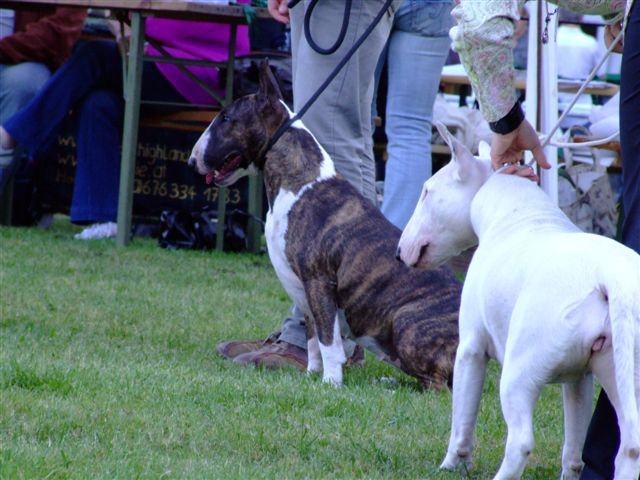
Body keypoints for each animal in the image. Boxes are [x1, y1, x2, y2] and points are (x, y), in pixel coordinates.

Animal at [188, 61, 462, 390]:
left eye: (227, 118)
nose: (191, 161)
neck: (297, 182)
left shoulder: (319, 282)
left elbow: (329, 341)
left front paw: (331, 383)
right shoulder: (303, 292)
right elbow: (312, 340)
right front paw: (311, 375)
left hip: (406, 323)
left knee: (439, 385)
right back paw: (388, 382)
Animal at [398, 124, 636, 480]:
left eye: (427, 191)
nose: (399, 252)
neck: (518, 212)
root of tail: (609, 276)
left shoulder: (470, 348)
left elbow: (462, 417)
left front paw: (453, 464)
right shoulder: (580, 378)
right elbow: (573, 450)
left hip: (519, 369)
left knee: (521, 440)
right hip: (623, 372)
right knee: (630, 446)